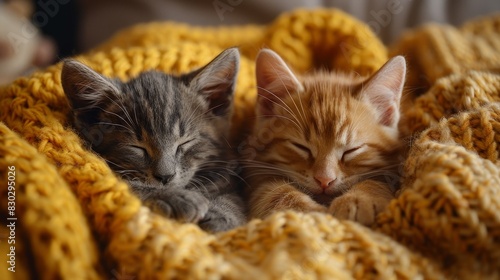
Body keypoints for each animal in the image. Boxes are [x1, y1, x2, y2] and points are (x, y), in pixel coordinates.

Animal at [61, 48, 247, 232]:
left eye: (184, 143)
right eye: (137, 147)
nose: (165, 177)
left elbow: (234, 198)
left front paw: (222, 214)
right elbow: (122, 184)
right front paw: (171, 196)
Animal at [243, 49, 406, 226]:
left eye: (352, 150)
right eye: (301, 147)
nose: (324, 180)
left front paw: (360, 199)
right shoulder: (256, 172)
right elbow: (270, 191)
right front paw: (310, 215)